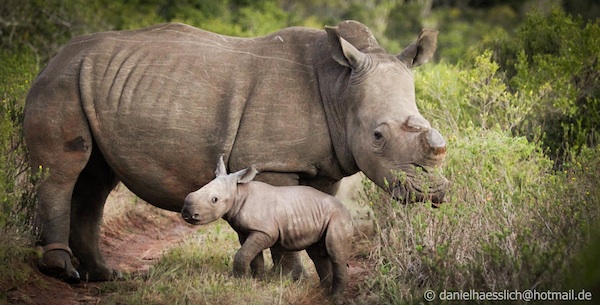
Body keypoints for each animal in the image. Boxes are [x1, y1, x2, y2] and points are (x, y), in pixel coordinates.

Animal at [180, 156, 354, 300]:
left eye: (214, 200)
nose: (187, 213)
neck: (239, 192)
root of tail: (347, 211)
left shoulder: (265, 231)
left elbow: (243, 254)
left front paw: (238, 281)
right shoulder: (247, 231)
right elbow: (252, 255)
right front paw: (256, 281)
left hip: (338, 217)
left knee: (335, 254)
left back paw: (334, 299)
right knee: (318, 254)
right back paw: (321, 294)